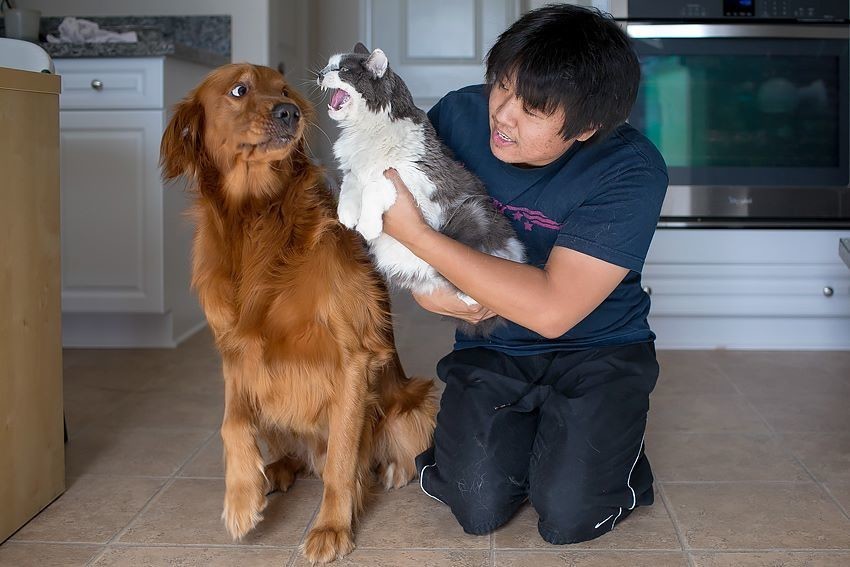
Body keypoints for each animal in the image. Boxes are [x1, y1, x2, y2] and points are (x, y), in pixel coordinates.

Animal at [160, 65, 438, 564]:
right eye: (239, 89)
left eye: (285, 90)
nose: (290, 112)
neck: (257, 218)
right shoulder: (236, 353)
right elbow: (231, 422)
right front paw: (241, 498)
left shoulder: (352, 357)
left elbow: (342, 461)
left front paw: (331, 527)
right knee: (293, 453)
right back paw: (273, 472)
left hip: (415, 402)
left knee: (374, 453)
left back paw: (391, 470)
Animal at [316, 45, 524, 338]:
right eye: (327, 66)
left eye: (343, 70)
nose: (320, 74)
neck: (365, 131)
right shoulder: (354, 170)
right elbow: (351, 185)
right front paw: (346, 215)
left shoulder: (413, 175)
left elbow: (375, 186)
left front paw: (367, 226)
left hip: (472, 213)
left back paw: (470, 296)